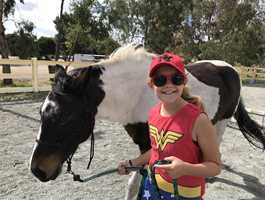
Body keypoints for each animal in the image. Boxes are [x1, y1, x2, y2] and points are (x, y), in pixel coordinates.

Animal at [29, 43, 264, 198]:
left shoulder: (148, 145)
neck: (137, 93)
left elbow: (136, 183)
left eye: (65, 117)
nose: (37, 171)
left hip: (222, 121)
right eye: (41, 113)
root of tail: (229, 68)